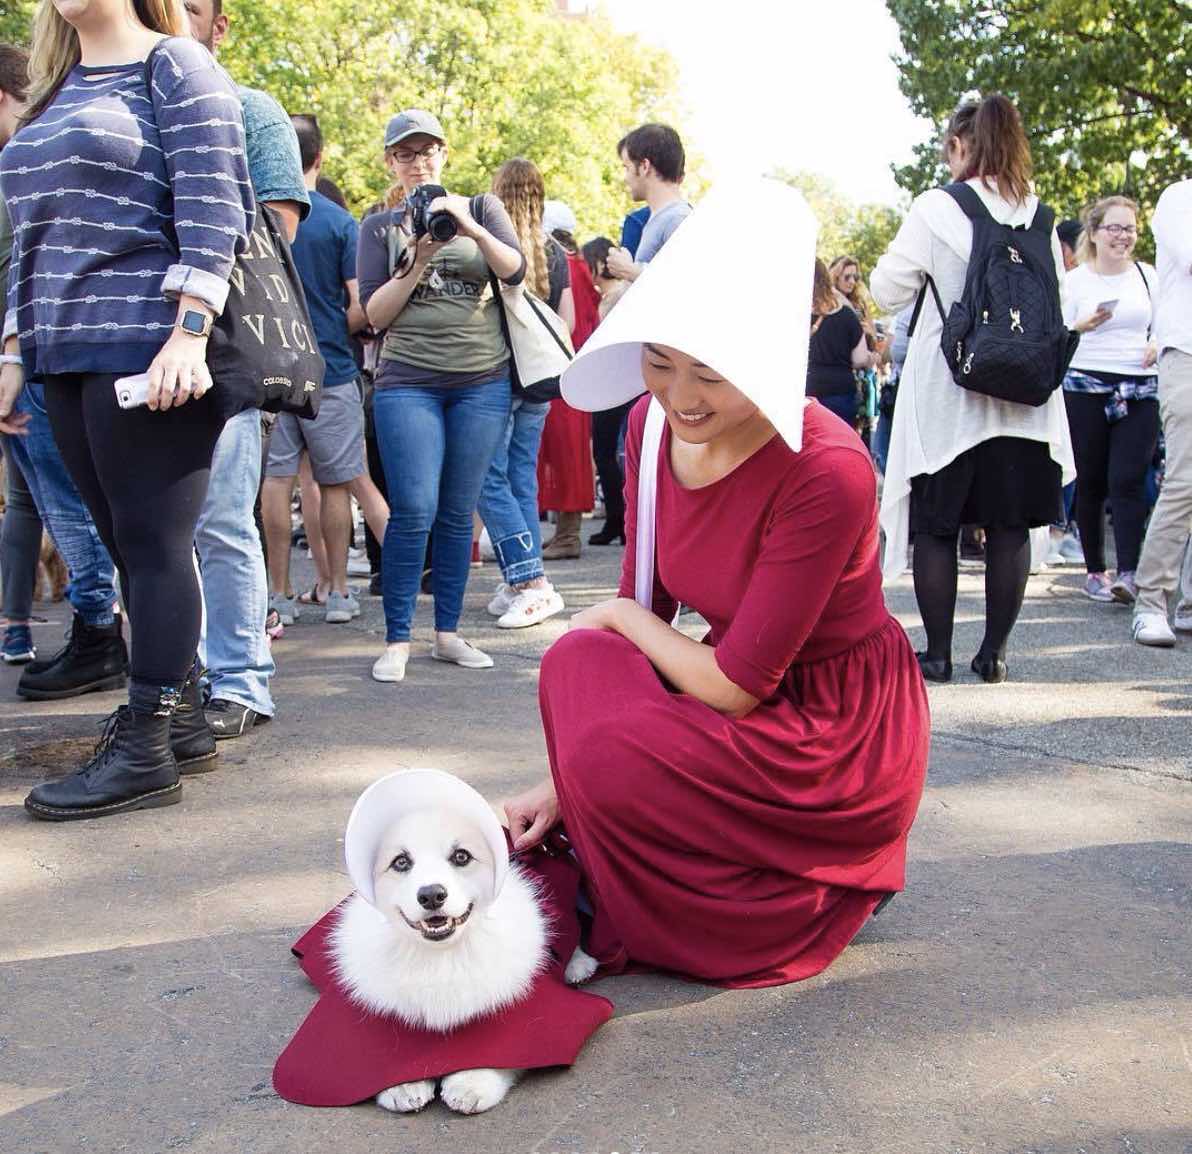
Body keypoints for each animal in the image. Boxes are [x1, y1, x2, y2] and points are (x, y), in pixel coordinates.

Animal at [328, 772, 593, 1111]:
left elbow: (500, 1050)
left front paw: (470, 1084)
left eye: (461, 856)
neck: (441, 955)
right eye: (400, 862)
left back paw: (579, 965)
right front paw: (403, 1085)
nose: (431, 895)